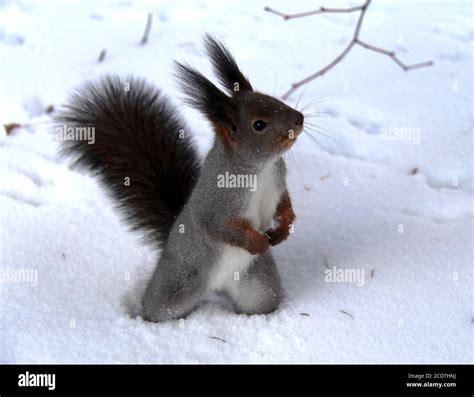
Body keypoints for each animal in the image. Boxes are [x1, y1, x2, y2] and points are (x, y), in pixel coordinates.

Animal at [58, 34, 304, 322]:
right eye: (259, 125)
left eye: (273, 98)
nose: (299, 119)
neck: (260, 168)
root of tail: (216, 287)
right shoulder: (216, 200)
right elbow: (219, 226)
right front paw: (258, 242)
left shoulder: (277, 181)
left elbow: (284, 203)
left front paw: (284, 227)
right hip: (175, 285)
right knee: (156, 308)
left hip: (258, 285)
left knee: (261, 301)